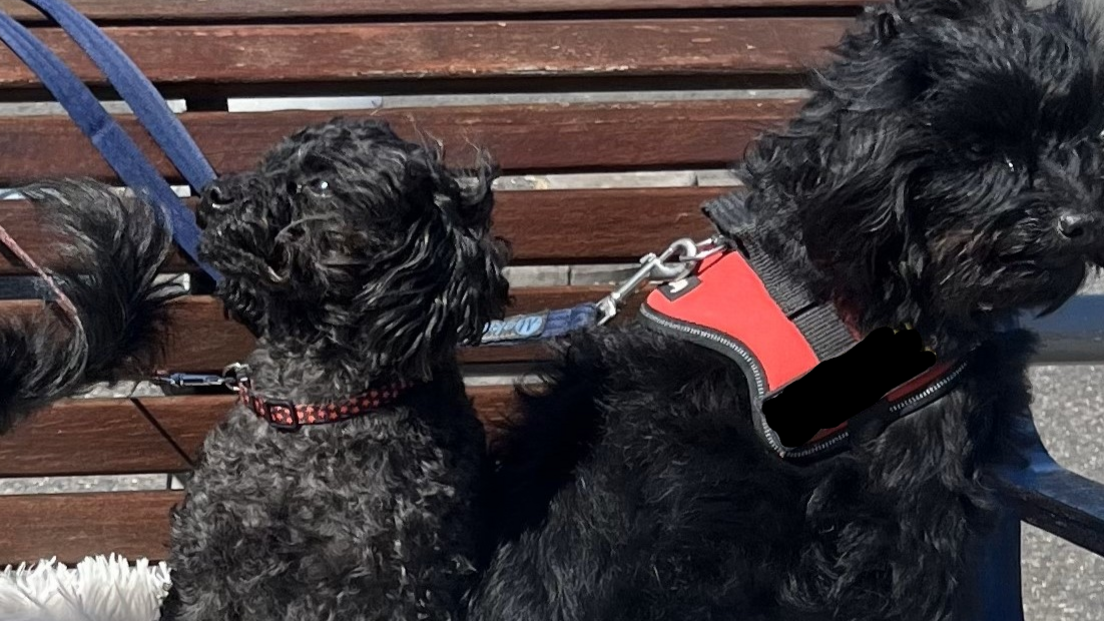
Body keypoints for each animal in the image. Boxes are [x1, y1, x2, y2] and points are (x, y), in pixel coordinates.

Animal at [157, 119, 510, 618]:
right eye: (269, 162)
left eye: (321, 185)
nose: (213, 193)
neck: (308, 415)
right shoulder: (208, 562)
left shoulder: (391, 586)